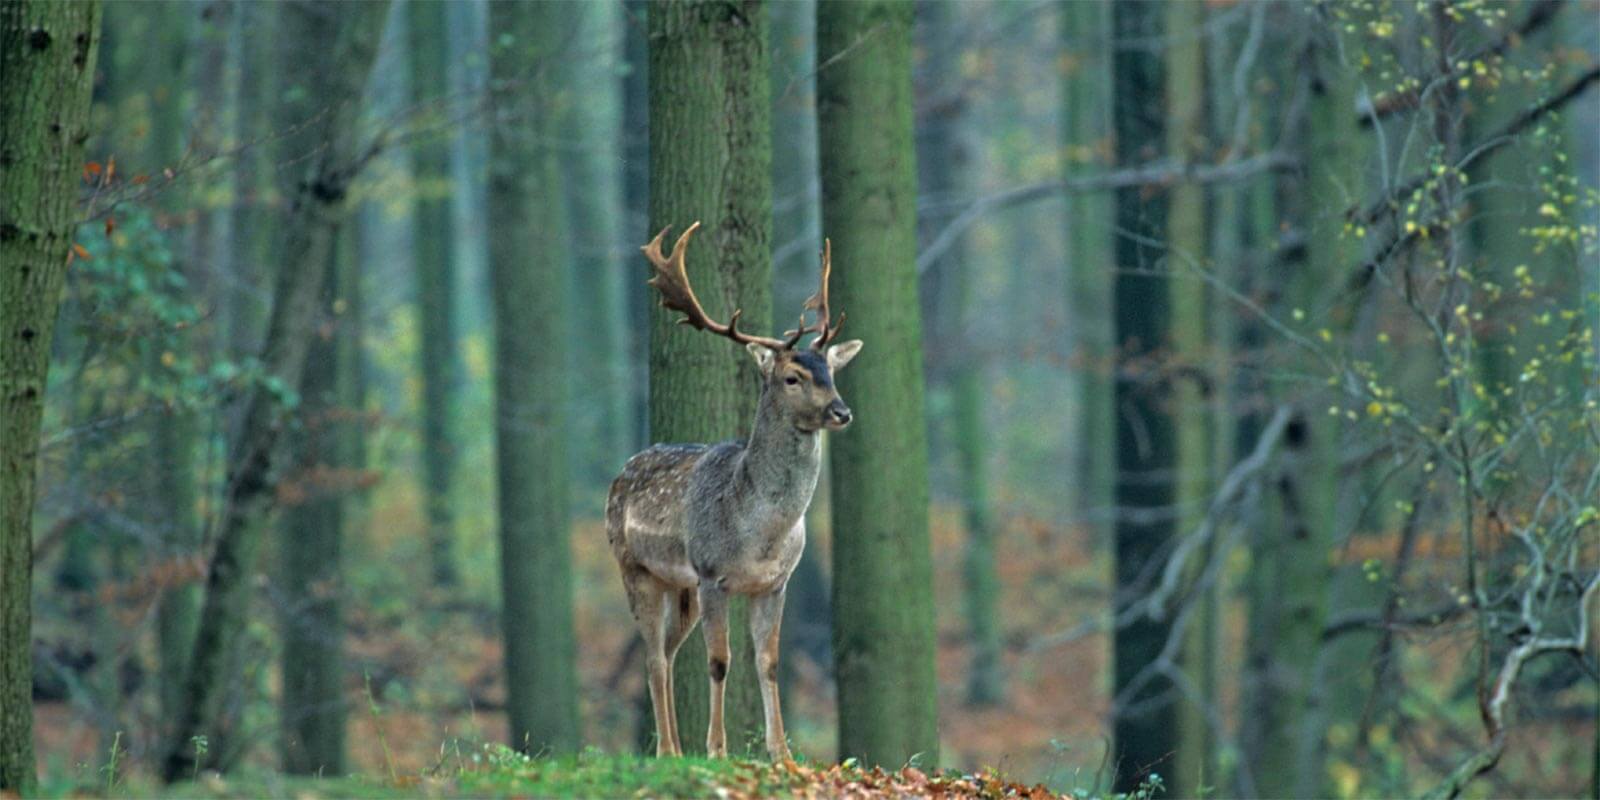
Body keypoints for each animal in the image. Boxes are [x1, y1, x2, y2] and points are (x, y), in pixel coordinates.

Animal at [604, 222, 864, 758]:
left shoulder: (776, 581)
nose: (842, 412)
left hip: (678, 586)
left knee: (667, 652)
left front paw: (781, 753)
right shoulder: (711, 573)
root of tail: (623, 468)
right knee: (654, 657)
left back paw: (672, 747)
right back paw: (669, 750)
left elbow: (769, 662)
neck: (760, 531)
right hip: (635, 566)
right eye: (792, 377)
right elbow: (720, 662)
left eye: (831, 371)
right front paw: (717, 749)